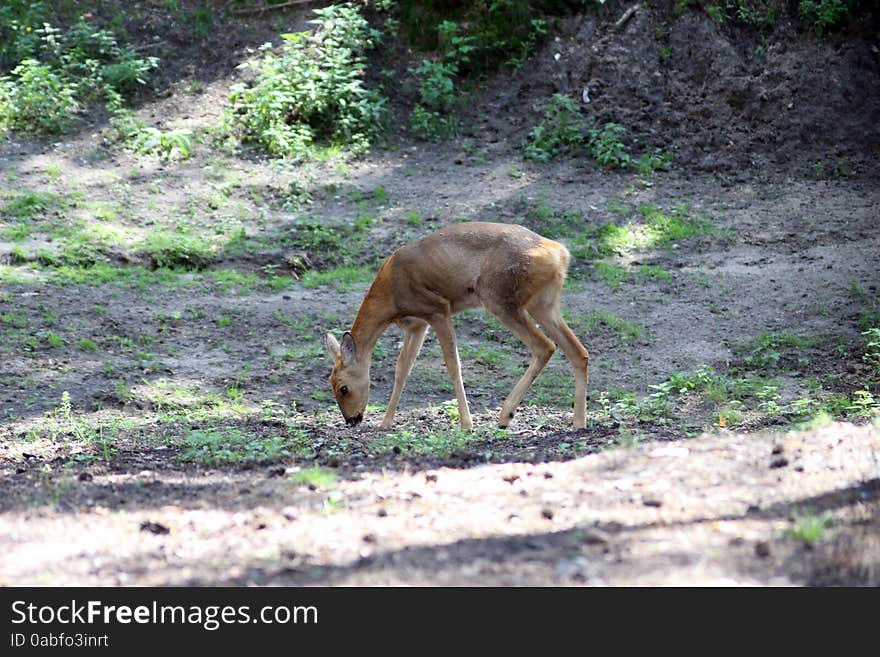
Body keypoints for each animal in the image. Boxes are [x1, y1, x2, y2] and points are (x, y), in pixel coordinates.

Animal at [324, 220, 592, 430]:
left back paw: (505, 416)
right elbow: (402, 369)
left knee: (545, 346)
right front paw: (386, 423)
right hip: (544, 304)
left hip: (500, 299)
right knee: (578, 352)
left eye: (343, 388)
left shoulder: (438, 309)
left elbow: (453, 365)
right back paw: (579, 422)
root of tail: (560, 253)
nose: (352, 420)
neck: (390, 296)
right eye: (331, 384)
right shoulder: (416, 325)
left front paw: (466, 424)